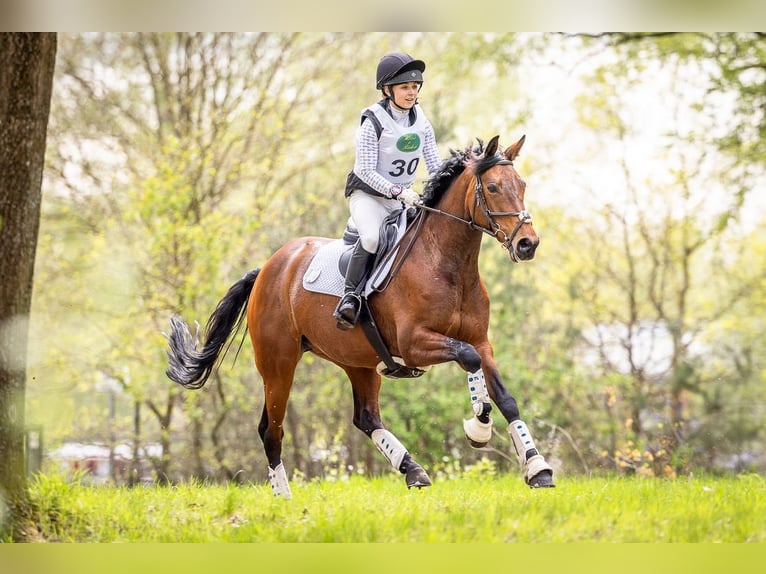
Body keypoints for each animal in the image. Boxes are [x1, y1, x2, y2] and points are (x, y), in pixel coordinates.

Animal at [165, 136, 556, 500]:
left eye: (521, 185)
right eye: (492, 188)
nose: (528, 244)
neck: (447, 263)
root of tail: (267, 268)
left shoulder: (480, 340)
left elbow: (505, 396)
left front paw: (537, 467)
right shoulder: (415, 344)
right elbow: (468, 359)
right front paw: (479, 427)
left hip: (359, 360)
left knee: (365, 417)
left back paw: (412, 469)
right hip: (278, 363)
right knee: (270, 428)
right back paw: (284, 497)